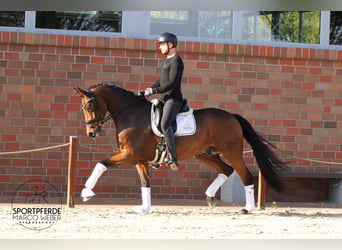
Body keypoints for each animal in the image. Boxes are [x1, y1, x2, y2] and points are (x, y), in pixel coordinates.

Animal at [75, 83, 288, 213]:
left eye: (89, 107)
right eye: (83, 108)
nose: (91, 133)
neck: (130, 112)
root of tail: (232, 116)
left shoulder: (129, 155)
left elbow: (101, 164)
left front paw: (86, 192)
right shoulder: (139, 159)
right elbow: (145, 183)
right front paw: (145, 208)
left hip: (231, 152)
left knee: (245, 175)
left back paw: (247, 208)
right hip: (205, 155)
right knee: (227, 170)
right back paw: (210, 197)